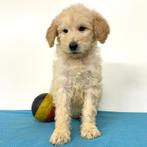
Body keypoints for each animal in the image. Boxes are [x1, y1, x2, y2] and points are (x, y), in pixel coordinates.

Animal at [46, 4, 109, 145]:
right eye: (65, 31)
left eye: (82, 28)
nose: (72, 45)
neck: (77, 60)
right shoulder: (62, 87)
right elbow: (62, 112)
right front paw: (60, 133)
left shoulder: (91, 86)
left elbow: (88, 109)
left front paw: (89, 128)